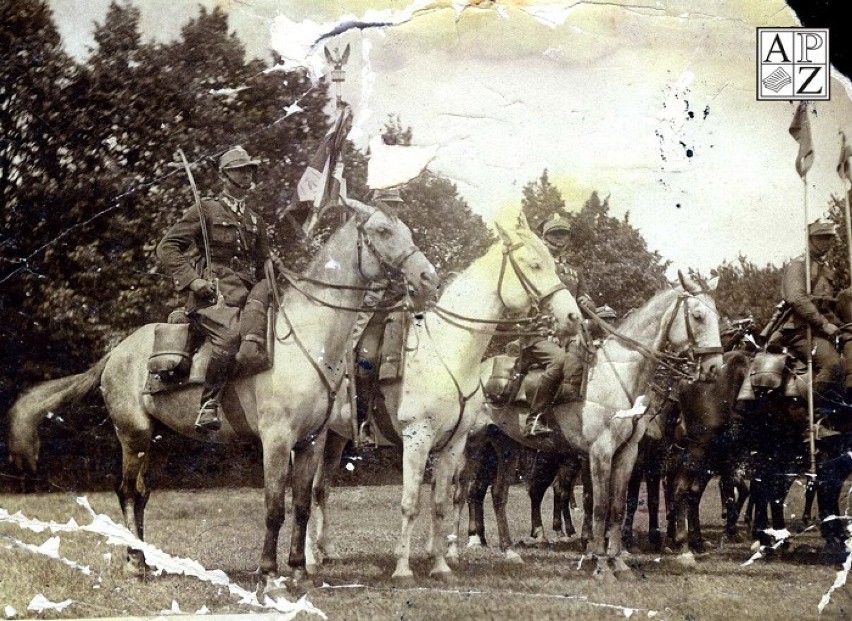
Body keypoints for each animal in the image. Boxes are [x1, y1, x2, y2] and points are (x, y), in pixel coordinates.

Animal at [8, 196, 440, 588]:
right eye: (383, 231)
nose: (428, 278)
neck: (307, 339)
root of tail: (116, 352)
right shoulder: (276, 441)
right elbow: (274, 508)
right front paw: (269, 574)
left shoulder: (312, 442)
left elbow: (301, 506)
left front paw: (300, 571)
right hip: (133, 435)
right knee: (127, 491)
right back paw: (133, 564)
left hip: (156, 439)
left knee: (142, 493)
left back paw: (144, 561)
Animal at [302, 218, 584, 580]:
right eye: (535, 265)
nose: (573, 317)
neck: (447, 350)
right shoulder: (417, 438)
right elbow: (410, 504)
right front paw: (403, 569)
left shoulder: (454, 443)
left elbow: (439, 503)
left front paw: (440, 566)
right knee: (304, 489)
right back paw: (308, 558)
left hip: (336, 438)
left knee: (321, 489)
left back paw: (327, 551)